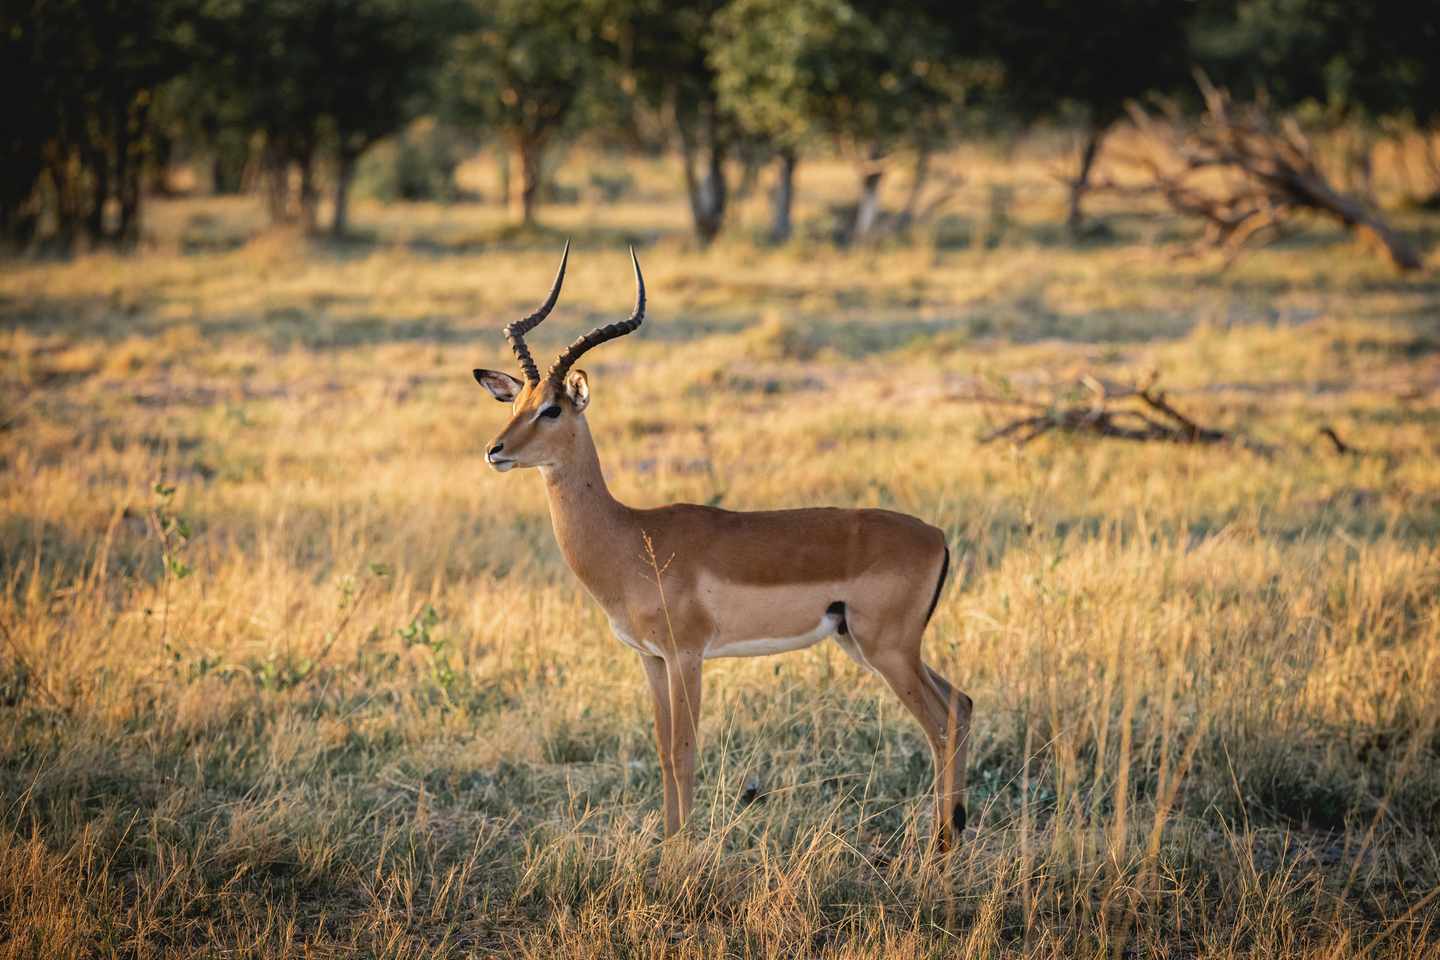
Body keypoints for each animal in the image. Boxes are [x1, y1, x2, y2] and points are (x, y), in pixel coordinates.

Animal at [473, 243, 972, 849]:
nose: (495, 450)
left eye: (552, 409)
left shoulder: (687, 655)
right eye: (515, 402)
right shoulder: (651, 659)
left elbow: (685, 753)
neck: (630, 537)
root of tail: (937, 536)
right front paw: (667, 846)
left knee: (941, 725)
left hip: (889, 650)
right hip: (869, 645)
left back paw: (939, 849)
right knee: (962, 705)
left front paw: (682, 855)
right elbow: (664, 754)